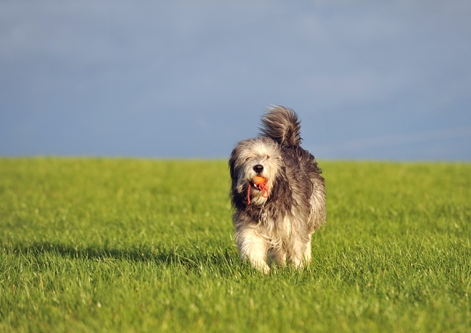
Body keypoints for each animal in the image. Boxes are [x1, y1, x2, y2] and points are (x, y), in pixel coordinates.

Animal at [230, 106, 326, 272]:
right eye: (248, 158)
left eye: (268, 157)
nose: (258, 167)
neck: (266, 201)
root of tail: (291, 144)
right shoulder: (250, 225)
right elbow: (251, 246)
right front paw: (263, 269)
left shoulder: (294, 221)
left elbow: (297, 244)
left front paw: (297, 269)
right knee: (278, 250)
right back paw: (278, 265)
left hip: (314, 208)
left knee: (307, 237)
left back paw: (306, 259)